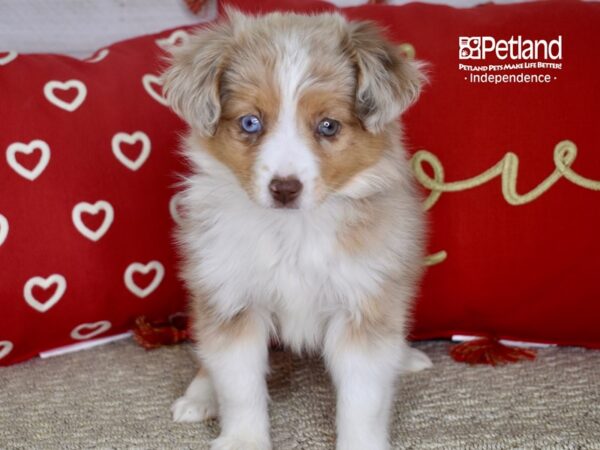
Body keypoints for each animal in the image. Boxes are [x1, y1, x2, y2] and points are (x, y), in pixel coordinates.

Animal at [164, 7, 432, 450]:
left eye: (328, 126)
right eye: (250, 122)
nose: (285, 188)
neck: (293, 231)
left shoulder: (363, 305)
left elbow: (363, 400)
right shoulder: (233, 299)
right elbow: (239, 386)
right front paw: (243, 439)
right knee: (208, 352)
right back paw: (199, 395)